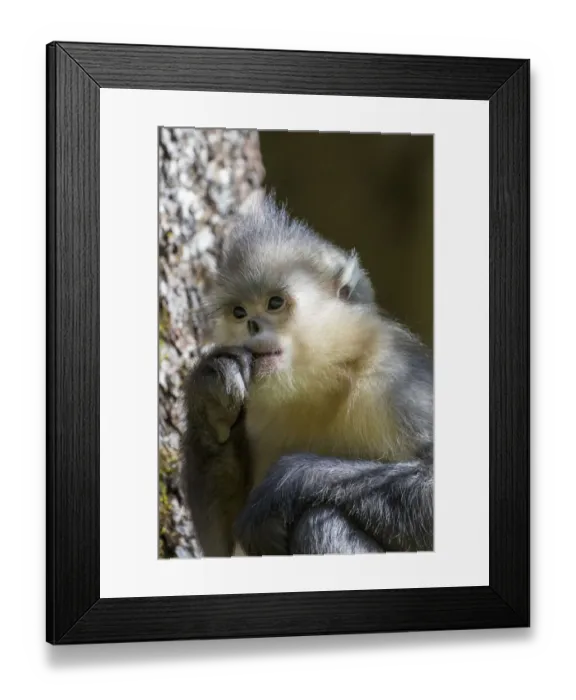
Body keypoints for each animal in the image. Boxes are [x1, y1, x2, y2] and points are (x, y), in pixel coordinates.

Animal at [181, 194, 433, 557]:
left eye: (275, 303)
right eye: (239, 312)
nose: (251, 325)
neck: (324, 381)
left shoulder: (400, 384)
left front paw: (286, 484)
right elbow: (220, 550)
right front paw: (210, 396)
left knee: (321, 519)